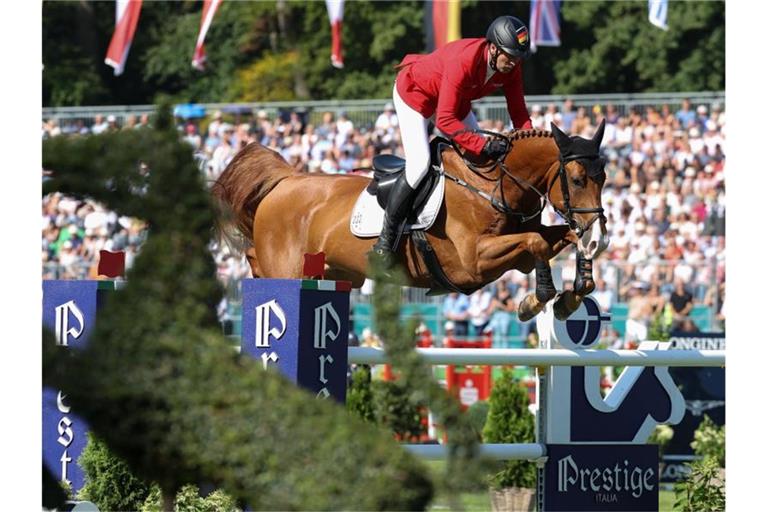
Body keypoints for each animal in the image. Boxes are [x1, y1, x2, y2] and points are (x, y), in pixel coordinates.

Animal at [213, 121, 608, 318]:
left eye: (603, 178)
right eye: (577, 180)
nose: (600, 237)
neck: (490, 184)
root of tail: (286, 180)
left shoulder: (513, 252)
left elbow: (560, 237)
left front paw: (576, 291)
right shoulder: (473, 263)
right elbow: (537, 241)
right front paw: (537, 300)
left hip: (332, 271)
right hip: (286, 262)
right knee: (260, 261)